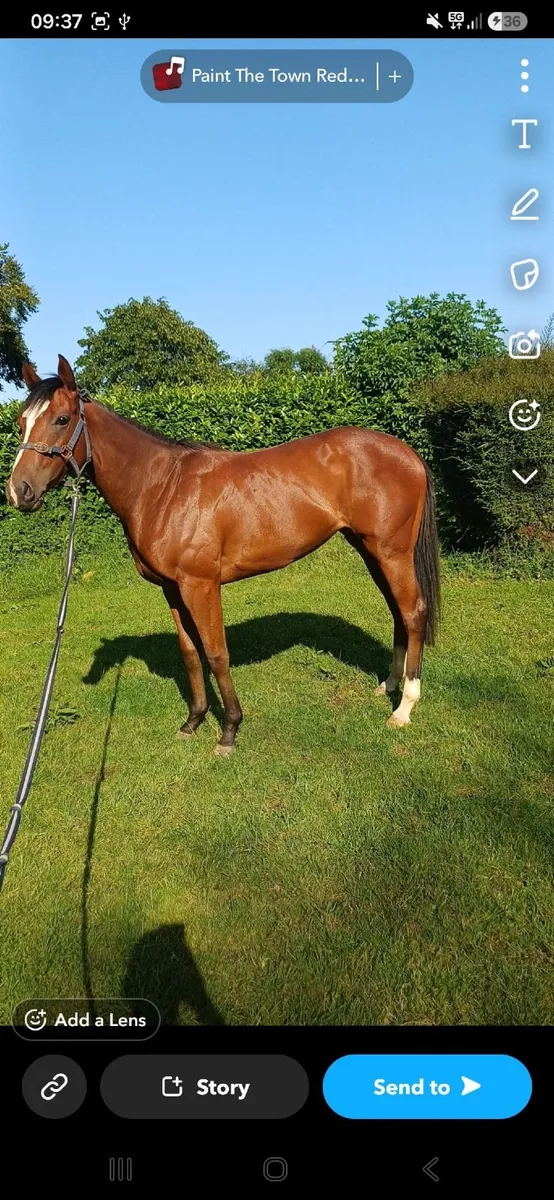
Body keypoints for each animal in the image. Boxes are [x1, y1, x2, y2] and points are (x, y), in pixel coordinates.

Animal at [6, 355, 440, 755]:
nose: (18, 492)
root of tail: (408, 453)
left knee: (413, 612)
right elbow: (189, 653)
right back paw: (388, 684)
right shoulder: (172, 589)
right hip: (369, 551)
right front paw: (193, 721)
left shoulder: (201, 585)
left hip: (391, 552)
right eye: (20, 422)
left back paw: (404, 708)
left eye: (62, 419)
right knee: (398, 613)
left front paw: (229, 730)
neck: (162, 487)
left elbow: (216, 654)